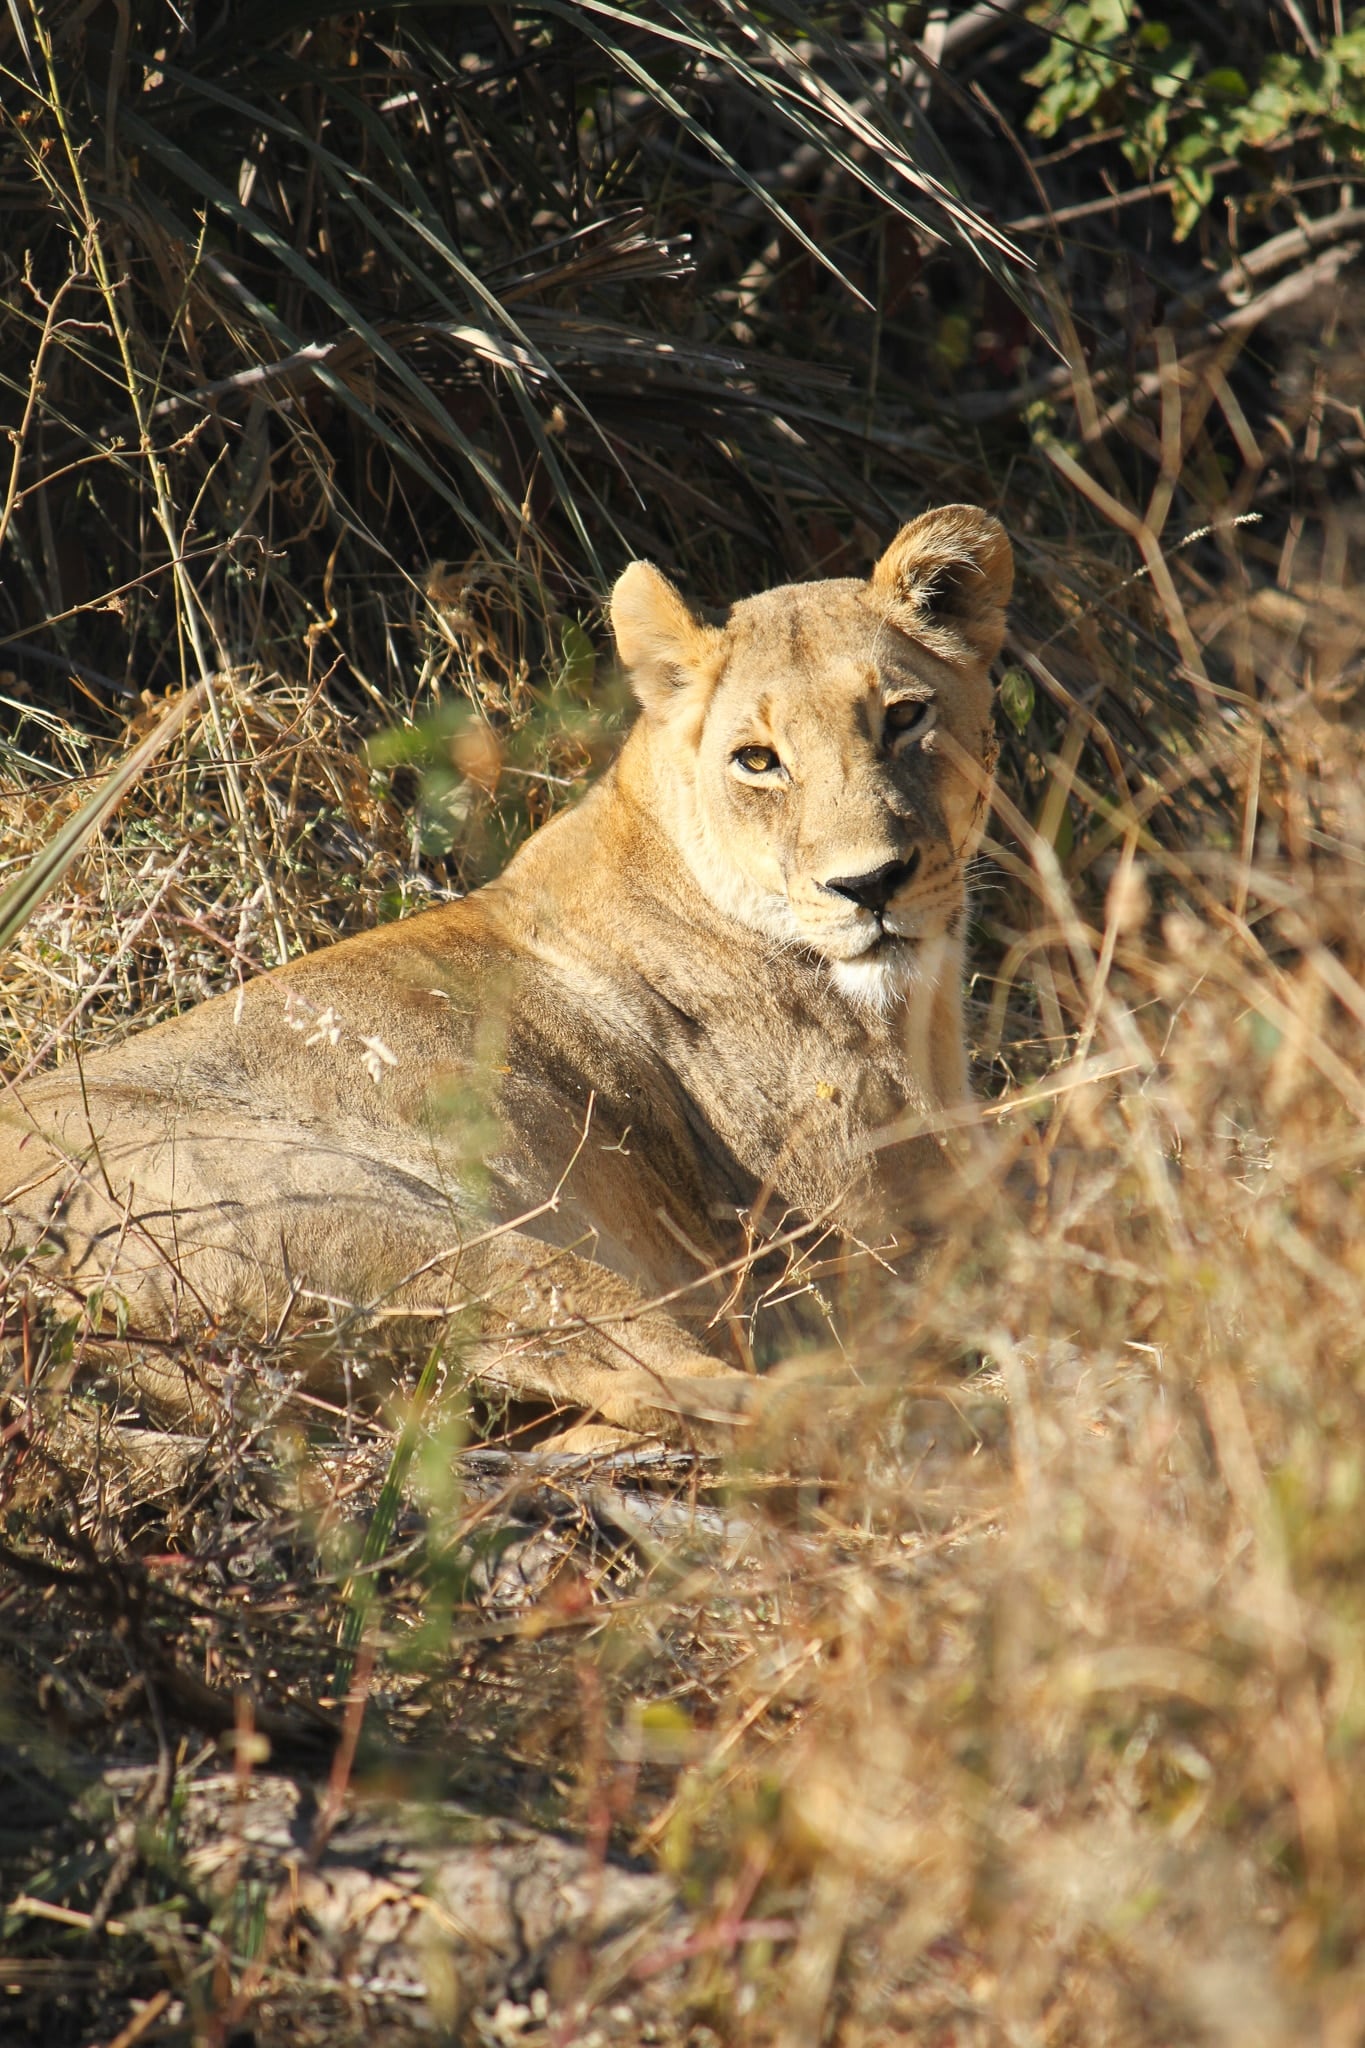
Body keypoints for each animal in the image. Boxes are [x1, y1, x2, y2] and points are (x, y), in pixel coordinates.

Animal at [0, 505, 1011, 1439]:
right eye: (757, 761)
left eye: (904, 717)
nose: (869, 885)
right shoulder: (869, 1254)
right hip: (428, 1232)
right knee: (679, 1387)